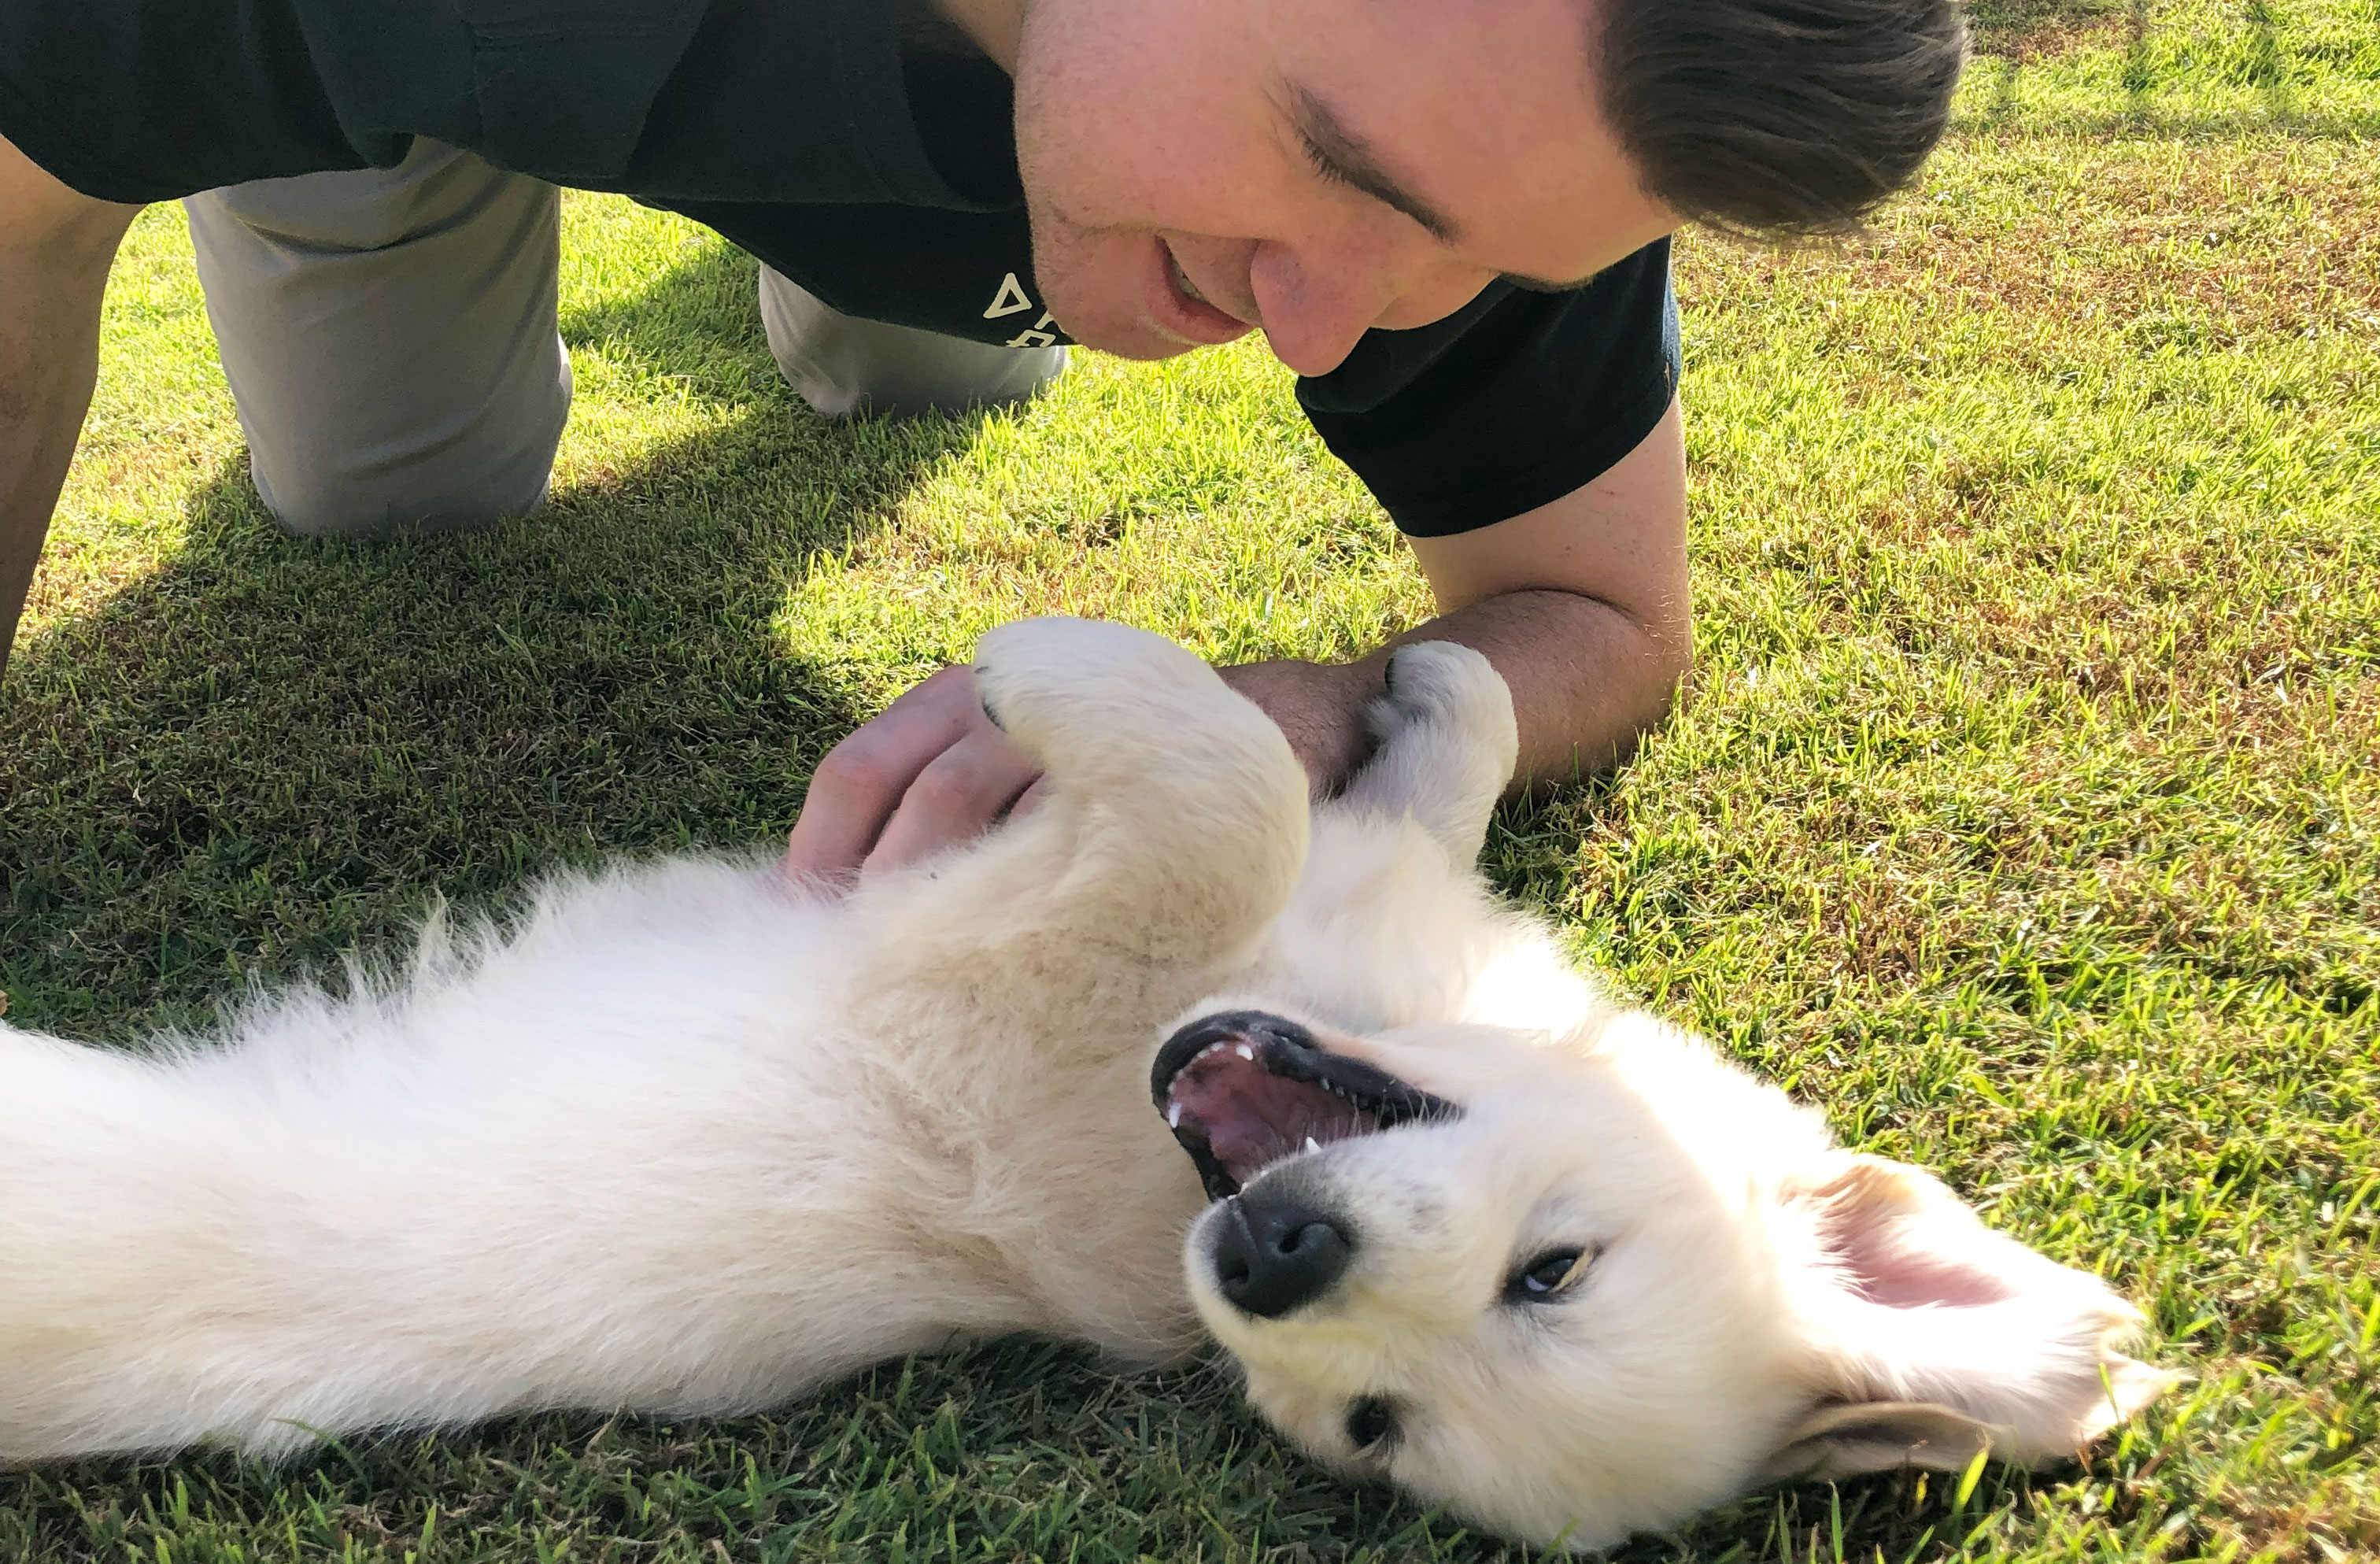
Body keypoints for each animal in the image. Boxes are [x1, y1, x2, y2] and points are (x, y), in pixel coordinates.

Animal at [0, 614, 2170, 1542]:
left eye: (1371, 1427)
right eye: (1563, 1269)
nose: (1274, 1256)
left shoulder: (971, 981)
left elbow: (1220, 783)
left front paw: (1044, 669)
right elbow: (1376, 763)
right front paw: (1429, 692)